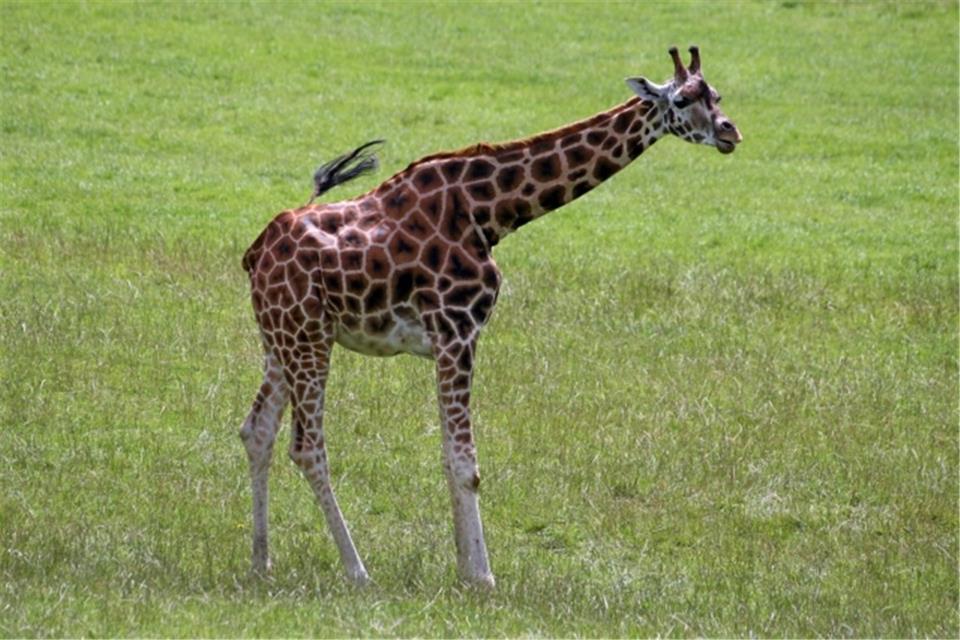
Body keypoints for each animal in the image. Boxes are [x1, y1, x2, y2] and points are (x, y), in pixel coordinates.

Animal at [238, 46, 741, 589]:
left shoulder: (450, 337)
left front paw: (466, 567)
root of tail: (254, 253)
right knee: (308, 446)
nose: (730, 133)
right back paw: (357, 571)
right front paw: (480, 576)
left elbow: (452, 456)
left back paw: (261, 562)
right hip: (306, 336)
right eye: (682, 99)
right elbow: (464, 462)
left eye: (717, 94)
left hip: (284, 337)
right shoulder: (456, 330)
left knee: (257, 431)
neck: (491, 212)